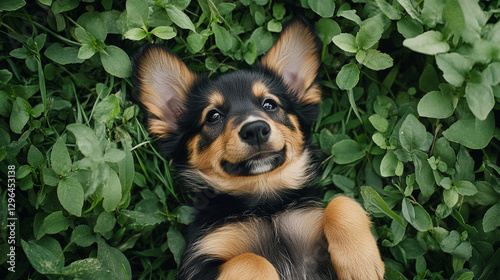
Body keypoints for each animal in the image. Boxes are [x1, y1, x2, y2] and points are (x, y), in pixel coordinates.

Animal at [132, 18, 382, 280]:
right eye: (213, 116)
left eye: (269, 104)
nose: (255, 129)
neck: (265, 206)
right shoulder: (199, 264)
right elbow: (253, 261)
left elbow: (341, 201)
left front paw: (361, 265)